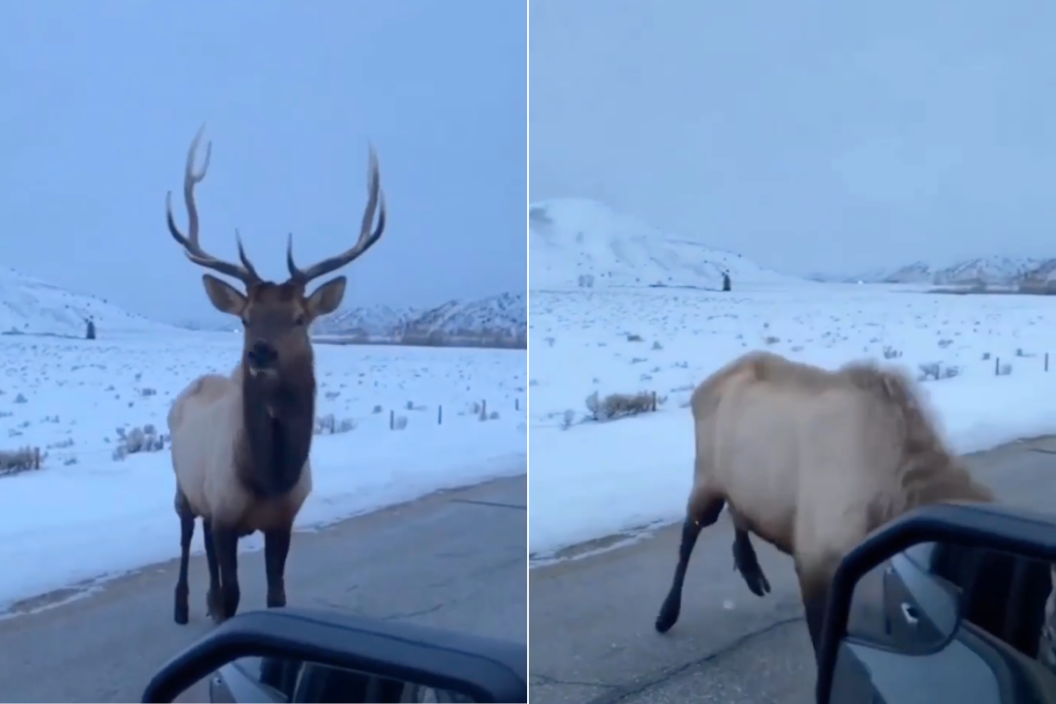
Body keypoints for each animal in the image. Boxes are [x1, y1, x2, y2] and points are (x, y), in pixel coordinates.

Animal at [167, 125, 386, 625]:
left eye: (299, 318)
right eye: (246, 317)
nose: (260, 351)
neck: (268, 477)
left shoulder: (283, 519)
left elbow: (276, 596)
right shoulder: (226, 511)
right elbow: (233, 596)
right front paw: (221, 614)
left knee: (203, 543)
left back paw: (203, 600)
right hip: (184, 485)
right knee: (187, 533)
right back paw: (183, 605)